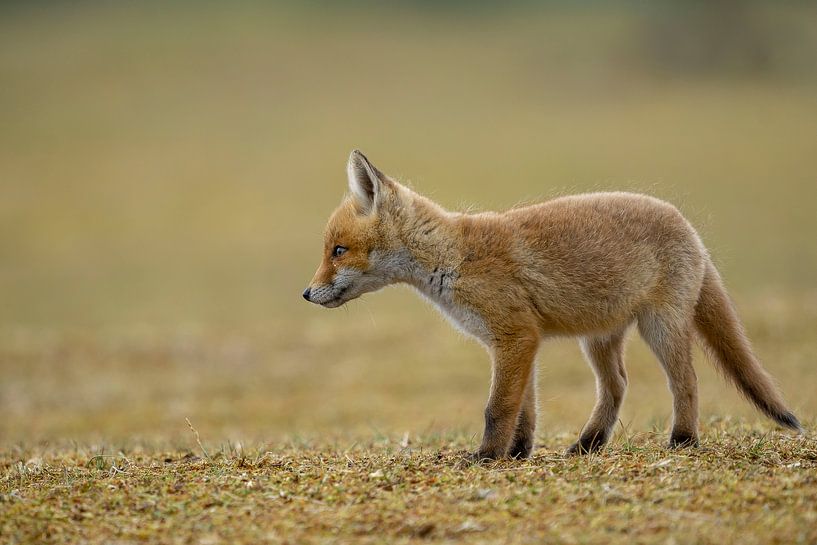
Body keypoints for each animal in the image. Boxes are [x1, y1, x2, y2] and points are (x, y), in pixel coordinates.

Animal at [303, 150, 802, 460]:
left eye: (338, 251)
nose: (306, 294)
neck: (455, 258)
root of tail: (688, 225)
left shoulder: (516, 337)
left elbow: (498, 408)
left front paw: (485, 457)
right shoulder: (516, 343)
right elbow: (524, 409)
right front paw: (516, 454)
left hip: (660, 327)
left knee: (687, 382)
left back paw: (682, 441)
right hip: (599, 339)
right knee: (617, 385)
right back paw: (588, 444)